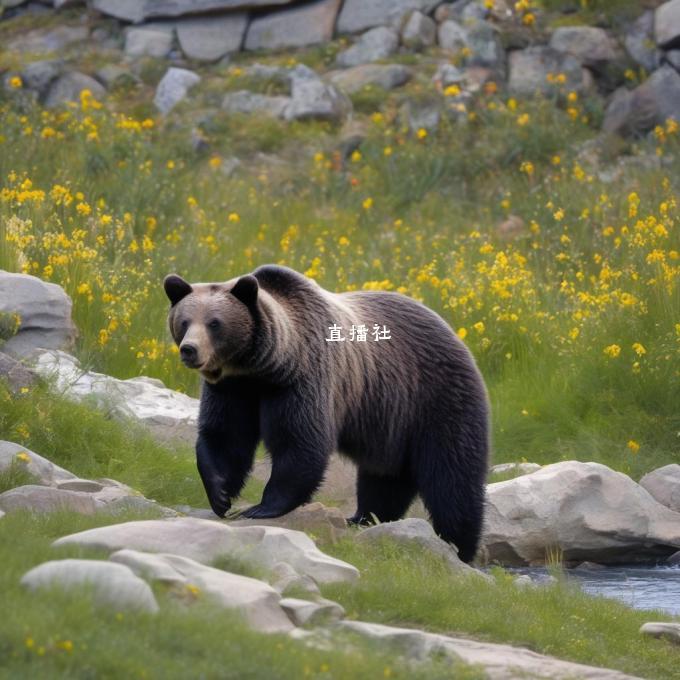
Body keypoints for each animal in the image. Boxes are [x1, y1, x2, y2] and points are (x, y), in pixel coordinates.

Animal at [167, 262, 492, 560]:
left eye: (214, 323)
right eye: (184, 321)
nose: (190, 350)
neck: (262, 368)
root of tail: (454, 334)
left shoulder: (302, 377)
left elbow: (300, 440)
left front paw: (261, 507)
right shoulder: (233, 388)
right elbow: (225, 436)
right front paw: (220, 494)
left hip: (435, 399)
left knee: (452, 477)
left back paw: (459, 545)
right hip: (391, 423)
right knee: (384, 478)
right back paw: (364, 517)